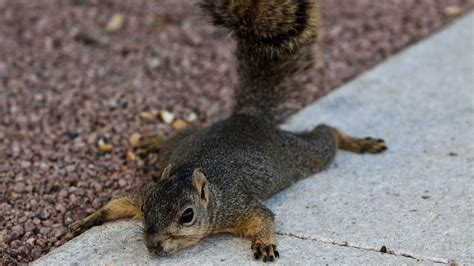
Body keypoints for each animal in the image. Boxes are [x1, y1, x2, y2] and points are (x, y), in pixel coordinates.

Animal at [65, 0, 386, 262]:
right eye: (145, 208)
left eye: (188, 215)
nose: (153, 245)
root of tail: (247, 117)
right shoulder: (146, 189)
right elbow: (119, 201)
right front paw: (88, 219)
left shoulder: (237, 206)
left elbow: (263, 216)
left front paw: (265, 242)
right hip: (179, 146)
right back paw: (154, 141)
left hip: (301, 156)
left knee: (326, 134)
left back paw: (358, 142)